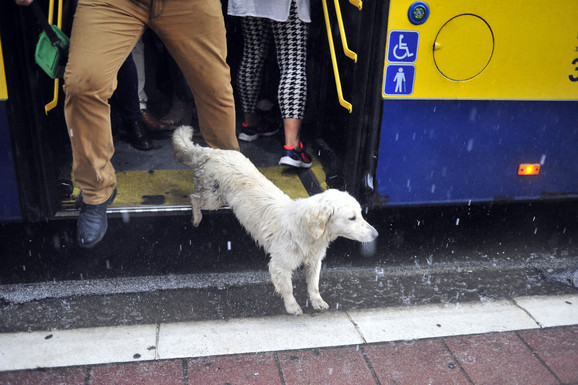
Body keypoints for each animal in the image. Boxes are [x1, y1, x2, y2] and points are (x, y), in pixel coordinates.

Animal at [172, 127, 378, 314]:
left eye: (361, 213)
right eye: (352, 217)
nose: (376, 234)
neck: (309, 234)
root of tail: (212, 152)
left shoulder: (314, 261)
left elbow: (314, 285)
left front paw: (317, 301)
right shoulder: (280, 264)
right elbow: (287, 288)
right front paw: (292, 306)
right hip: (213, 197)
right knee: (194, 198)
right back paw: (196, 217)